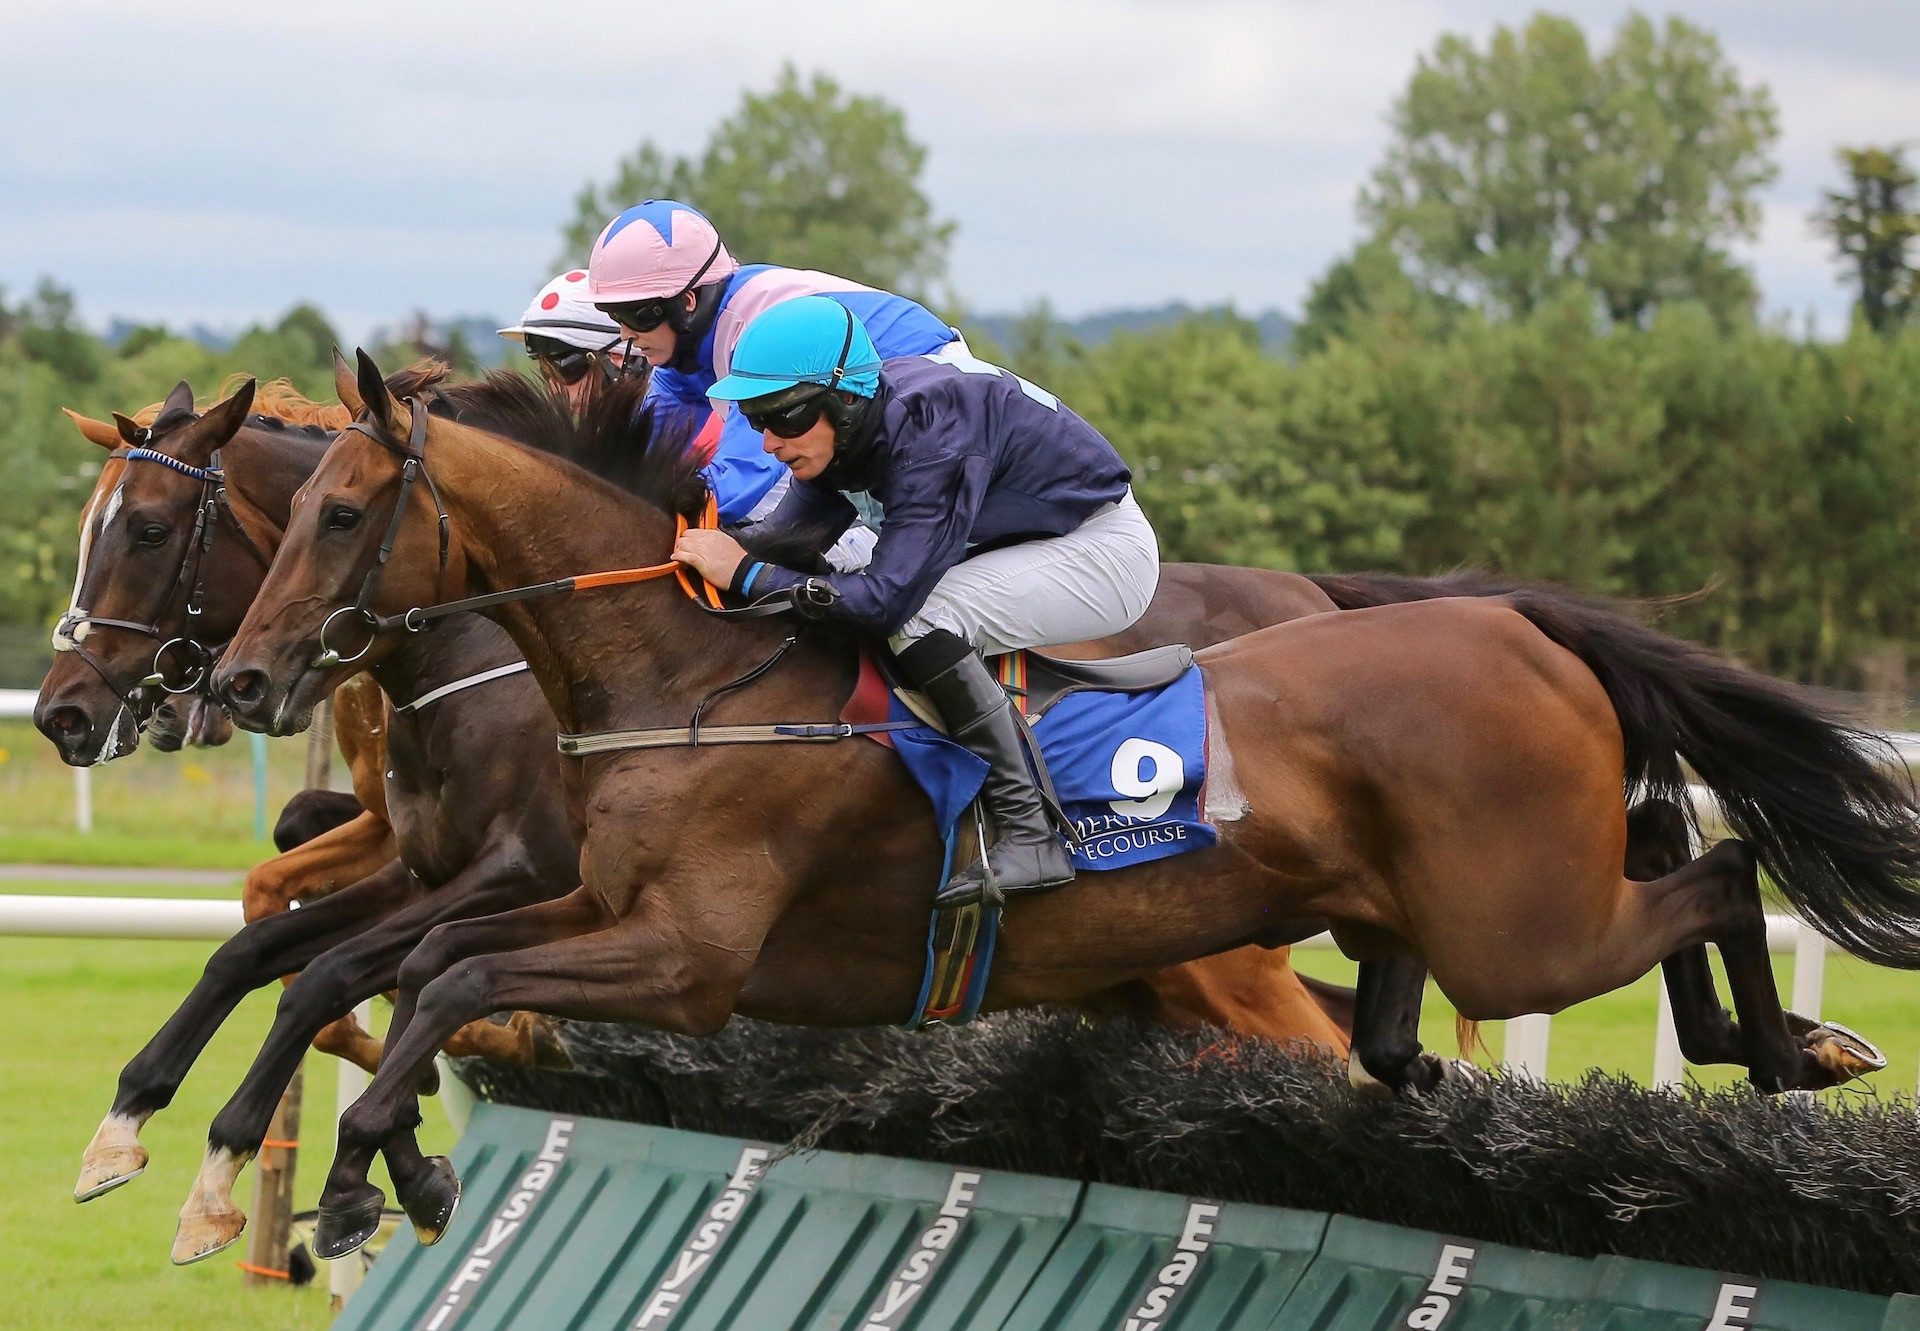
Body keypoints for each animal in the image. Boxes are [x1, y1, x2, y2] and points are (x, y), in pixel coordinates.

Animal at [210, 355, 1920, 1259]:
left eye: (342, 513)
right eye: (281, 517)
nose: (239, 677)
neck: (687, 667)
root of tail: (1519, 618)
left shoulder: (690, 960)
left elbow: (445, 976)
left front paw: (358, 1170)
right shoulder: (588, 899)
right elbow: (424, 965)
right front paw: (362, 1155)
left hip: (1520, 922)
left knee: (1721, 869)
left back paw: (1785, 1050)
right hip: (1433, 912)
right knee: (1523, 951)